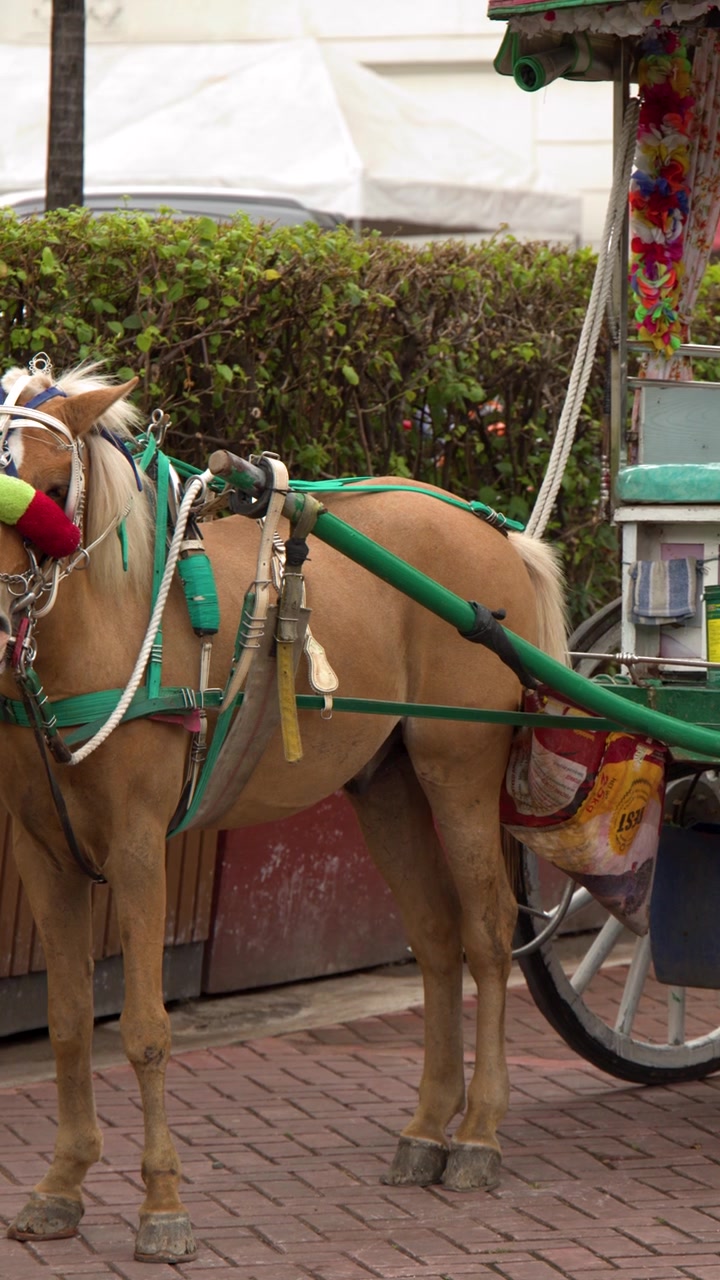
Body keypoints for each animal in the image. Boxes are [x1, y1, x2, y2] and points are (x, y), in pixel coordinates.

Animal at [0, 359, 568, 1264]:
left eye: (54, 488)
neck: (108, 622)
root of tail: (489, 529)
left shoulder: (138, 847)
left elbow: (146, 1029)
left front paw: (163, 1208)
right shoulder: (42, 850)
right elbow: (65, 1023)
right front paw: (60, 1187)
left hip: (459, 771)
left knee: (485, 936)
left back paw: (479, 1133)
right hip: (387, 784)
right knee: (436, 938)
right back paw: (426, 1129)